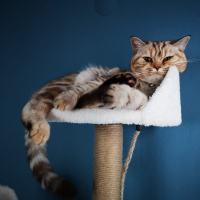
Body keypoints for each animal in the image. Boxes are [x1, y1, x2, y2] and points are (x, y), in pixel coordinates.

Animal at [20, 35, 191, 197]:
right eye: (147, 59)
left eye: (167, 58)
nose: (157, 67)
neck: (147, 86)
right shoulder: (98, 79)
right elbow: (79, 91)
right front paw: (67, 99)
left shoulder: (146, 102)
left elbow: (136, 99)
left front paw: (121, 94)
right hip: (60, 87)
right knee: (32, 106)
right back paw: (41, 128)